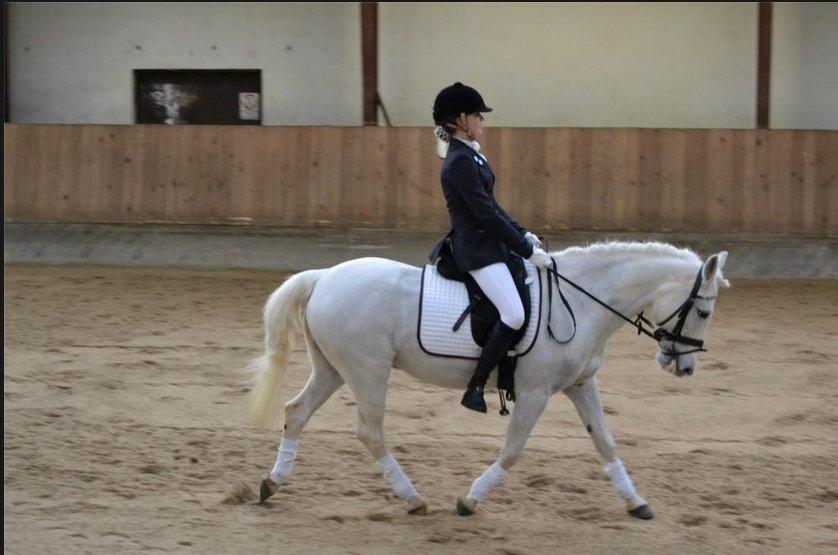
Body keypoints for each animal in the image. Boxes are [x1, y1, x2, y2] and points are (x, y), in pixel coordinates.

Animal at [248, 241, 728, 520]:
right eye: (704, 311)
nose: (683, 367)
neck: (580, 302)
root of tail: (325, 276)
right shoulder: (535, 393)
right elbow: (513, 451)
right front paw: (469, 499)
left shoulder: (580, 385)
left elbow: (605, 443)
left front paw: (637, 502)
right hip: (368, 372)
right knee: (370, 432)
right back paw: (413, 498)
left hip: (333, 370)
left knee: (296, 412)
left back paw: (272, 484)